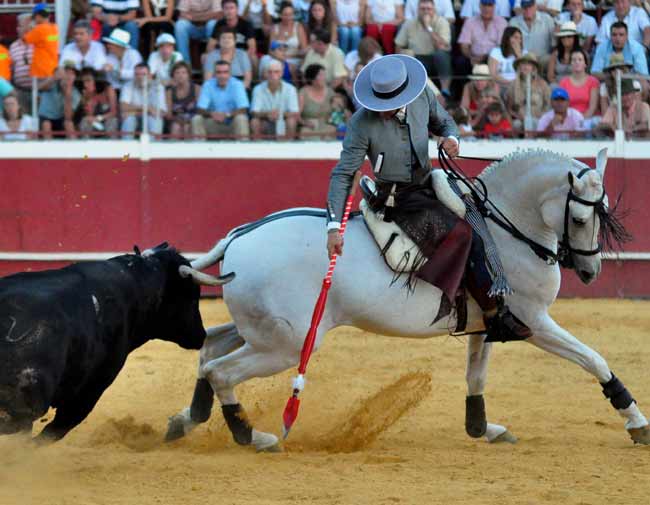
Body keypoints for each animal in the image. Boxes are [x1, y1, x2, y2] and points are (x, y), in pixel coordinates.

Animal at [166, 149, 648, 448]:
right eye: (581, 217)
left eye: (603, 210)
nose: (589, 272)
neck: (504, 225)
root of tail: (239, 236)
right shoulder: (535, 321)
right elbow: (593, 358)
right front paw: (636, 421)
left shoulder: (487, 322)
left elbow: (476, 376)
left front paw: (482, 428)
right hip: (287, 345)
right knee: (222, 371)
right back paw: (253, 436)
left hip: (264, 331)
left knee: (210, 350)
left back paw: (185, 420)